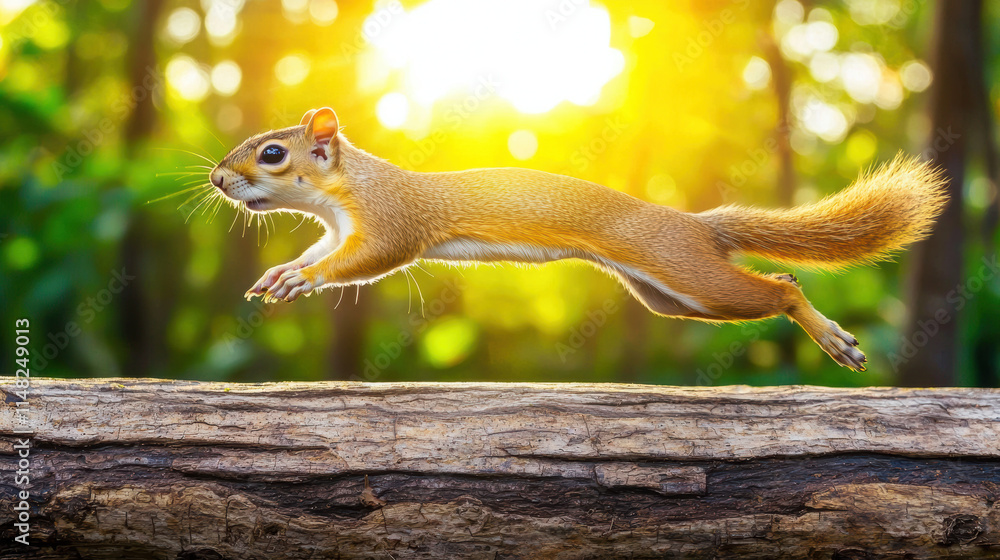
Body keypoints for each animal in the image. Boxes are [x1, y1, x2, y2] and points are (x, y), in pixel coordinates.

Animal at [208, 107, 948, 371]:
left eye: (272, 154)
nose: (216, 178)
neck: (346, 191)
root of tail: (692, 223)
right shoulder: (335, 229)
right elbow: (316, 250)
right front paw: (281, 273)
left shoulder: (393, 222)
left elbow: (366, 259)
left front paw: (304, 279)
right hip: (670, 297)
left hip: (687, 273)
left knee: (782, 288)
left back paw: (836, 340)